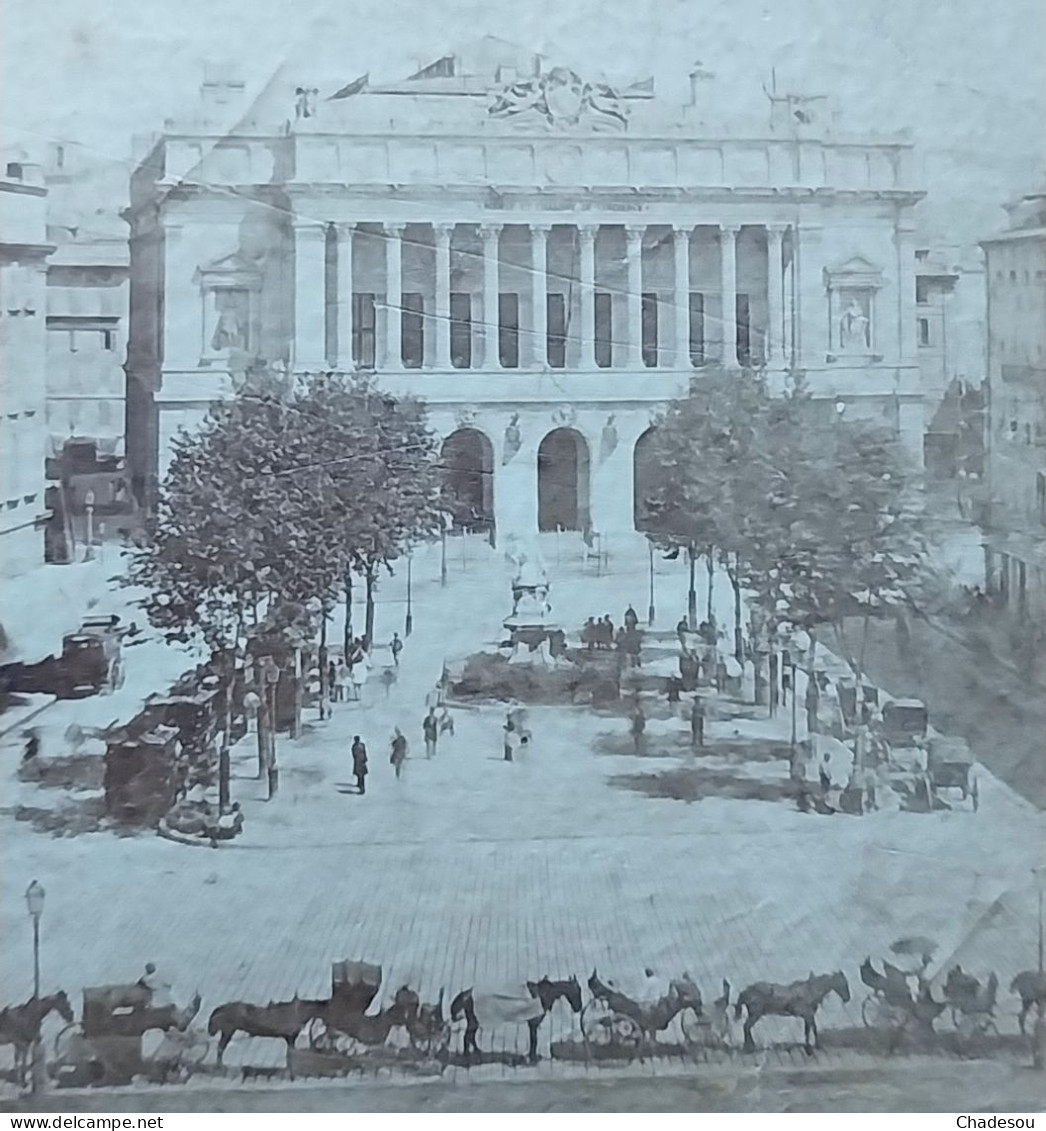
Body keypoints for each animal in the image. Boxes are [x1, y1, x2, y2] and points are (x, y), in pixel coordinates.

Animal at [447, 977, 583, 1063]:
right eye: (578, 991)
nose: (579, 1008)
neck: (543, 994)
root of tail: (467, 994)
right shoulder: (534, 1022)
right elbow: (534, 1040)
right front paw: (532, 1057)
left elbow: (534, 1040)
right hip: (474, 1021)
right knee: (467, 1036)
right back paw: (468, 1055)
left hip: (475, 1021)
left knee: (470, 1037)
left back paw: (476, 1051)